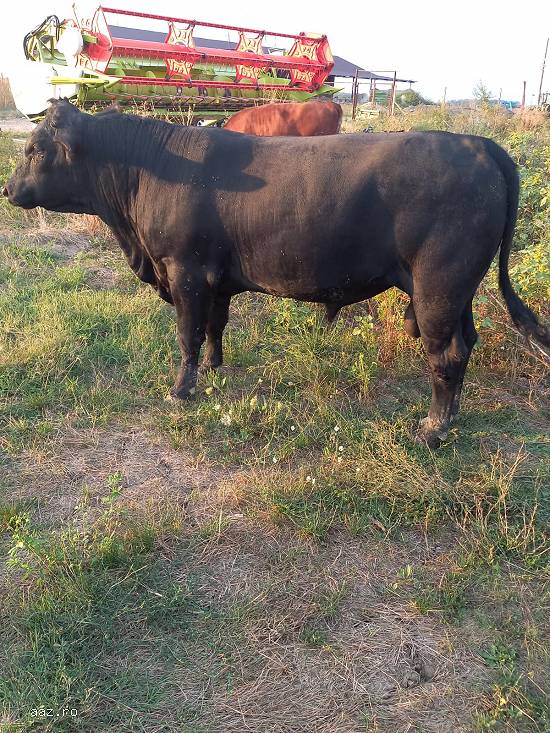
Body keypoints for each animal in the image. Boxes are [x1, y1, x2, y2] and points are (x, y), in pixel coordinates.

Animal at [3, 100, 549, 447]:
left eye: (35, 150)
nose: (8, 190)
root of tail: (478, 144)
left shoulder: (184, 271)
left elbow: (187, 333)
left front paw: (182, 389)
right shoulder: (215, 276)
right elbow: (214, 326)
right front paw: (216, 368)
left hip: (439, 285)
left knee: (446, 354)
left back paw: (433, 429)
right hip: (458, 291)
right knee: (466, 342)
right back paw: (450, 417)